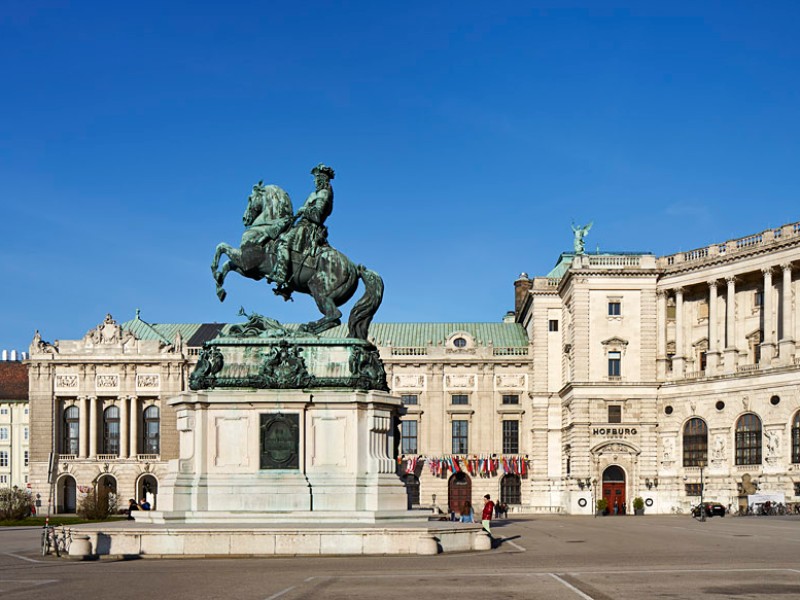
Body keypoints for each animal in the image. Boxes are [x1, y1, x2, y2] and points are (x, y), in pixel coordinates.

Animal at [211, 180, 386, 340]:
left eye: (249, 198)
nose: (245, 218)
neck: (266, 228)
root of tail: (354, 268)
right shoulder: (250, 271)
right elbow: (227, 264)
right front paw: (220, 287)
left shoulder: (246, 261)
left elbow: (221, 247)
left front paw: (215, 273)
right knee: (334, 318)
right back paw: (304, 330)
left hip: (319, 290)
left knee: (334, 315)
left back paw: (304, 328)